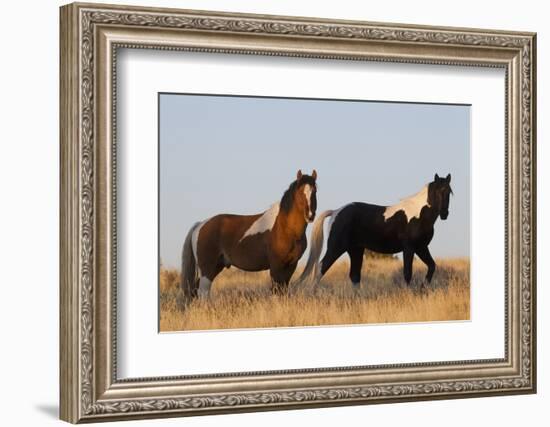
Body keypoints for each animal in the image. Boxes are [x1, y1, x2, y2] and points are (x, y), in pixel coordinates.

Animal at [181, 171, 320, 300]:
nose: (310, 215)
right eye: (300, 192)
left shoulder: (291, 264)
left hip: (216, 266)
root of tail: (200, 225)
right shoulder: (276, 265)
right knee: (203, 292)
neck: (285, 227)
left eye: (315, 191)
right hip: (207, 269)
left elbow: (283, 291)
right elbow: (276, 291)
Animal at [300, 174, 454, 290]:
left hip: (355, 250)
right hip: (336, 247)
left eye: (449, 192)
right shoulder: (409, 248)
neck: (418, 214)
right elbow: (407, 273)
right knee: (321, 268)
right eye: (437, 191)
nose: (444, 214)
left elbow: (432, 266)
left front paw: (423, 287)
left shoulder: (421, 247)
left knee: (354, 276)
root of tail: (336, 212)